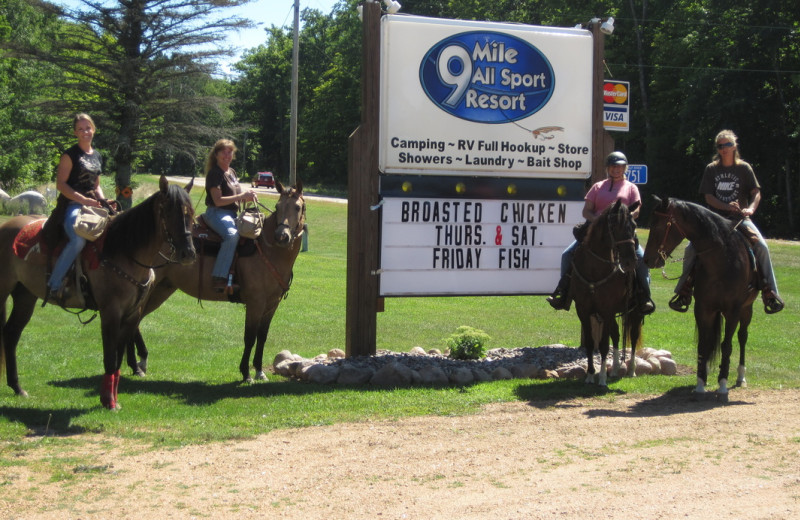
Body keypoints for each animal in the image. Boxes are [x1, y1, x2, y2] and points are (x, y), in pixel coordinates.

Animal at [1, 177, 195, 408]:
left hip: (25, 295)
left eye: (191, 214)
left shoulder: (132, 315)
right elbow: (109, 358)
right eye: (169, 212)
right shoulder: (110, 313)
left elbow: (118, 357)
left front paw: (112, 398)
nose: (188, 253)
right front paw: (108, 401)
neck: (124, 250)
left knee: (11, 334)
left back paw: (17, 387)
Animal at [126, 182, 304, 382]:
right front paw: (246, 372)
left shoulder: (272, 304)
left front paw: (259, 370)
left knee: (135, 322)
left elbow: (262, 336)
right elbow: (250, 337)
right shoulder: (255, 303)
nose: (282, 236)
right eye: (278, 207)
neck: (268, 250)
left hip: (162, 289)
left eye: (297, 207)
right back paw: (136, 365)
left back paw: (140, 362)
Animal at [572, 199, 648, 386]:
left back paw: (631, 370)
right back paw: (614, 369)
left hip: (635, 311)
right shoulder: (583, 310)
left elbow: (604, 345)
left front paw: (601, 379)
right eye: (614, 226)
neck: (595, 269)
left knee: (632, 337)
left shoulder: (606, 310)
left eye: (634, 225)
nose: (630, 262)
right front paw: (590, 375)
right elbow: (591, 343)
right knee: (616, 334)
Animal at [644, 197, 756, 400]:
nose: (647, 259)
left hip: (746, 309)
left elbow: (727, 346)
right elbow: (703, 345)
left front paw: (722, 386)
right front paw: (700, 384)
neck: (721, 259)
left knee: (742, 337)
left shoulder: (733, 310)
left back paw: (740, 377)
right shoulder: (703, 308)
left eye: (658, 225)